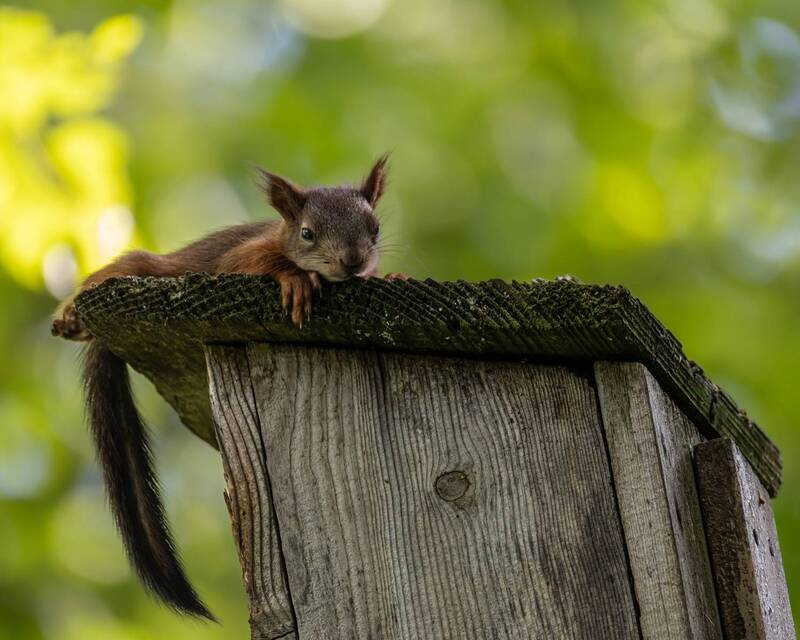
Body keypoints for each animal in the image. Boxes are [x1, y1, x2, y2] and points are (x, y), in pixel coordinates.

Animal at [51, 156, 404, 620]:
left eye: (375, 228)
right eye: (307, 233)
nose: (352, 261)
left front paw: (395, 275)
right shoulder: (239, 257)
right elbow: (253, 264)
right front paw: (295, 280)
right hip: (145, 271)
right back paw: (70, 315)